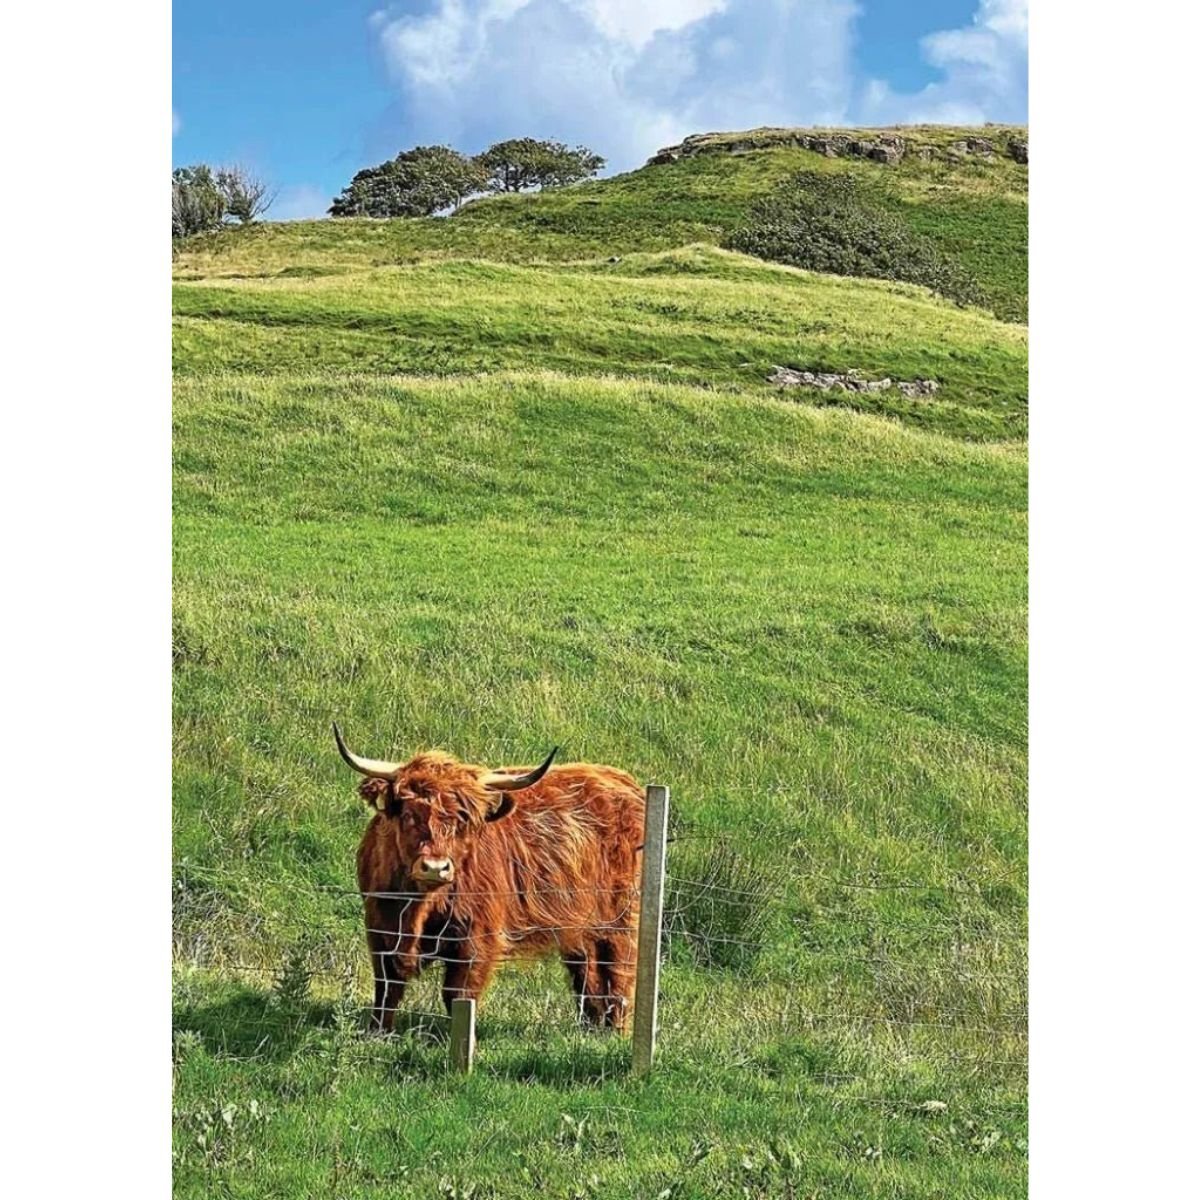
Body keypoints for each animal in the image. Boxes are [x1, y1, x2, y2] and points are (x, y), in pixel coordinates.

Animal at [333, 724, 646, 1034]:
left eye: (462, 820)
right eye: (409, 815)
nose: (435, 867)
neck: (417, 907)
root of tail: (624, 782)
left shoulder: (478, 937)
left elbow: (458, 994)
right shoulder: (379, 926)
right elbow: (387, 987)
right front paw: (378, 1032)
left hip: (622, 917)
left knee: (620, 969)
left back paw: (616, 1031)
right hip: (580, 922)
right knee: (587, 970)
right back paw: (592, 1028)